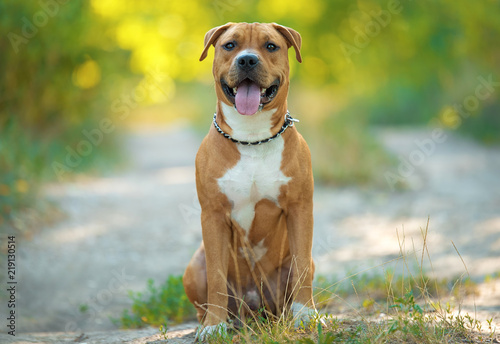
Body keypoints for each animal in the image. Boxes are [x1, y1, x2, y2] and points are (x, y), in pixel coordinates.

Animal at [182, 22, 318, 340]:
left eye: (270, 46)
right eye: (230, 45)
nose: (246, 60)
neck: (252, 137)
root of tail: (253, 306)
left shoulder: (300, 208)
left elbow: (302, 267)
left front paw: (307, 315)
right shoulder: (214, 215)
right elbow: (217, 277)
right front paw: (214, 326)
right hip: (194, 267)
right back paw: (214, 321)